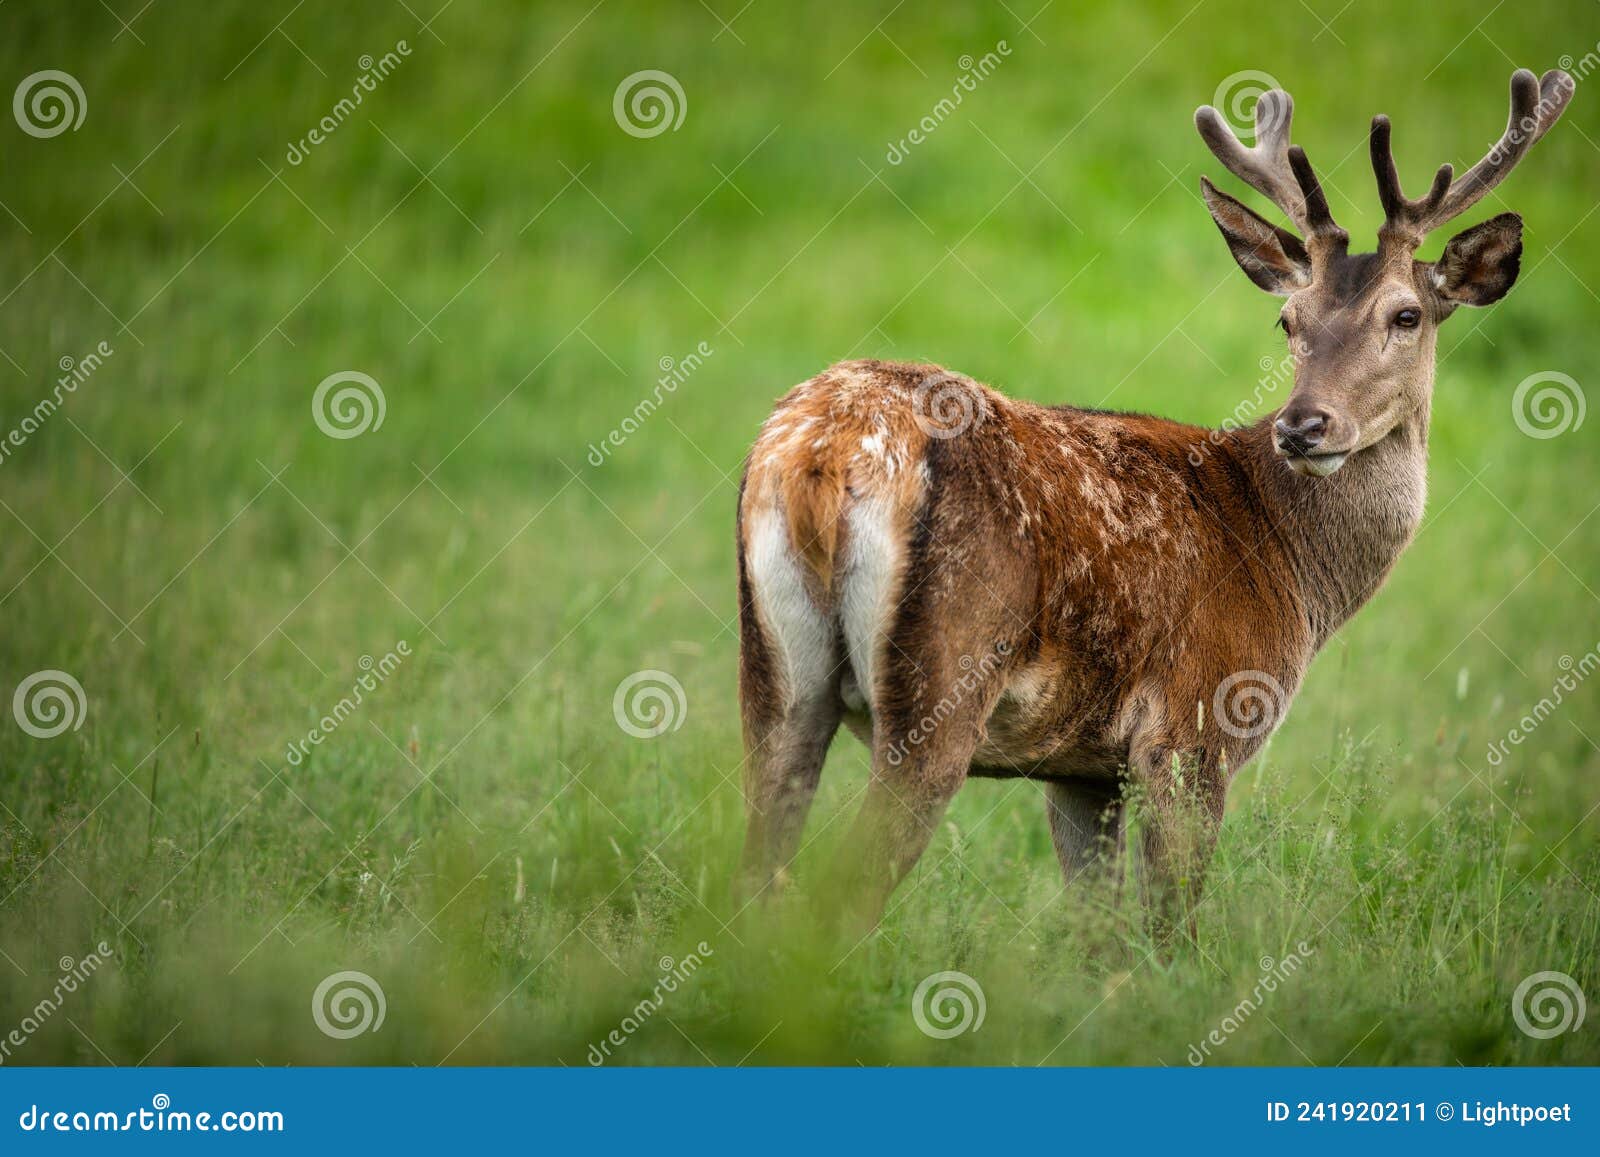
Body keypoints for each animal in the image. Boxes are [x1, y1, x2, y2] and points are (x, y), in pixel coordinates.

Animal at [732, 70, 1574, 940]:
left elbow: (1097, 934)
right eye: (1288, 319)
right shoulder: (1196, 722)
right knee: (840, 891)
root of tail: (823, 452)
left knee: (757, 872)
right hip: (940, 681)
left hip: (774, 675)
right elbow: (1171, 928)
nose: (1303, 425)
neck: (1291, 568)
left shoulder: (1078, 765)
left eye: (1406, 315)